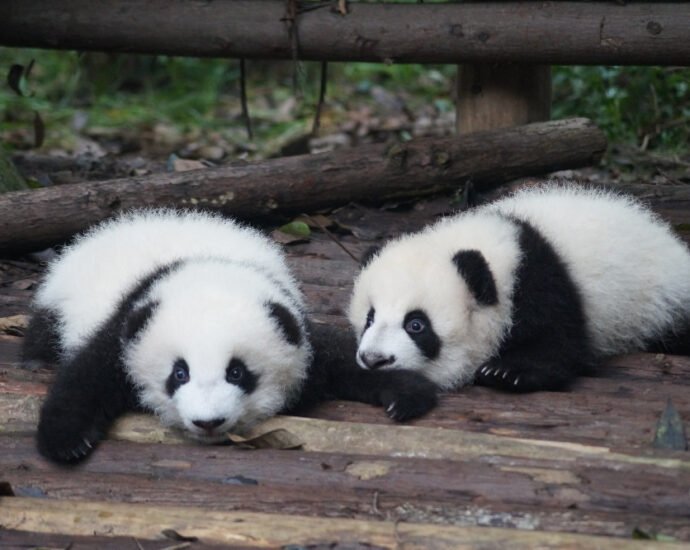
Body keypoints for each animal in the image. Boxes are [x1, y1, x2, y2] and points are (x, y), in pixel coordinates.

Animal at [25, 210, 437, 464]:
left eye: (237, 372)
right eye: (179, 374)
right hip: (58, 304)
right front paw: (66, 441)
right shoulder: (129, 323)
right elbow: (87, 376)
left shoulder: (294, 324)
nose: (208, 422)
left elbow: (342, 358)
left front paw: (405, 393)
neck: (209, 268)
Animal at [348, 184, 690, 393]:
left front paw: (505, 372)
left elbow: (560, 343)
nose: (374, 360)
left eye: (416, 325)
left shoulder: (540, 281)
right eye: (369, 318)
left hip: (663, 301)